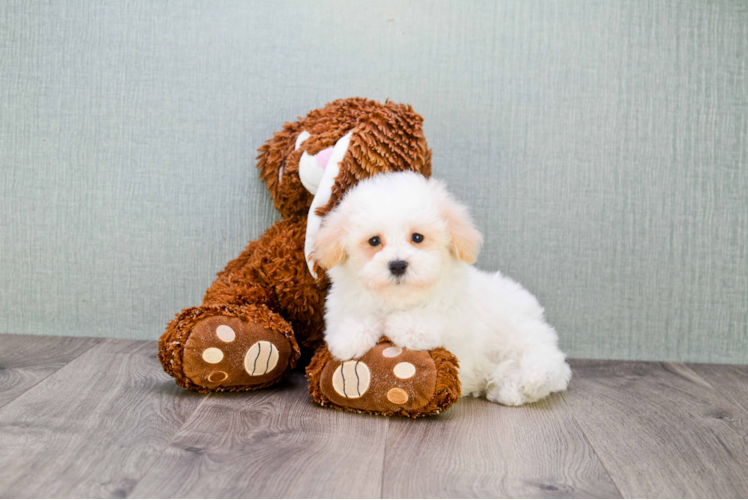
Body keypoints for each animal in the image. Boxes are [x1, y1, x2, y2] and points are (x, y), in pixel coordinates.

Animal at [312, 172, 568, 406]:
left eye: (417, 237)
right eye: (374, 241)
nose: (397, 264)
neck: (399, 300)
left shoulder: (457, 318)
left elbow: (433, 320)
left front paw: (403, 325)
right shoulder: (342, 303)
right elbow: (353, 318)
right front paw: (350, 337)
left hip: (524, 339)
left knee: (543, 369)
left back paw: (510, 387)